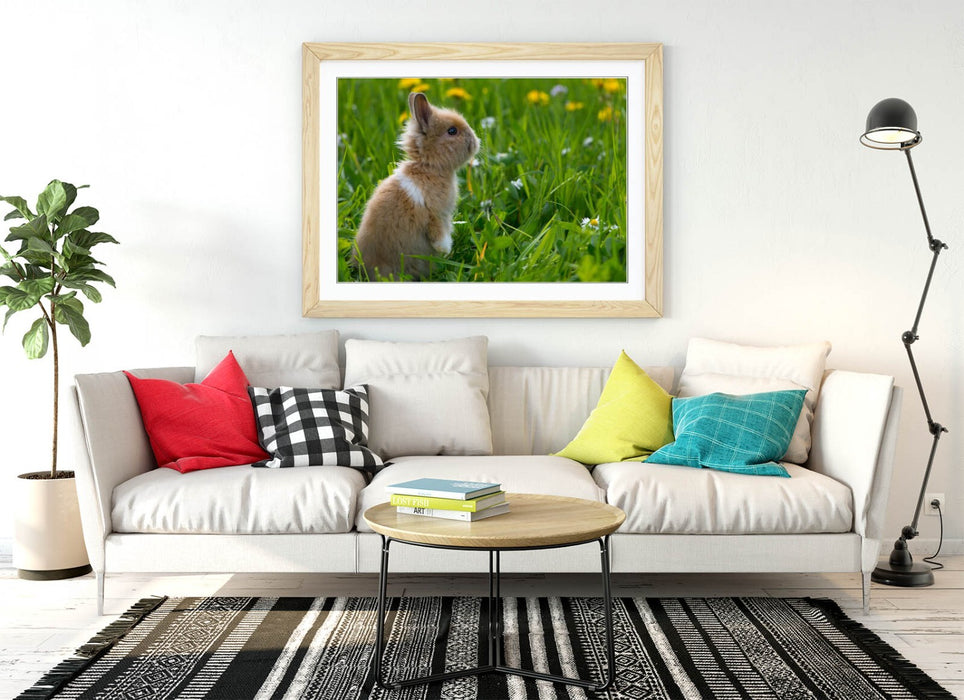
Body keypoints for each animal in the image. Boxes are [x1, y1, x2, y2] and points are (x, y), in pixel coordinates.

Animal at [354, 91, 479, 280]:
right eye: (452, 131)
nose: (476, 141)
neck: (428, 168)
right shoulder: (437, 215)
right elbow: (439, 235)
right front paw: (445, 249)